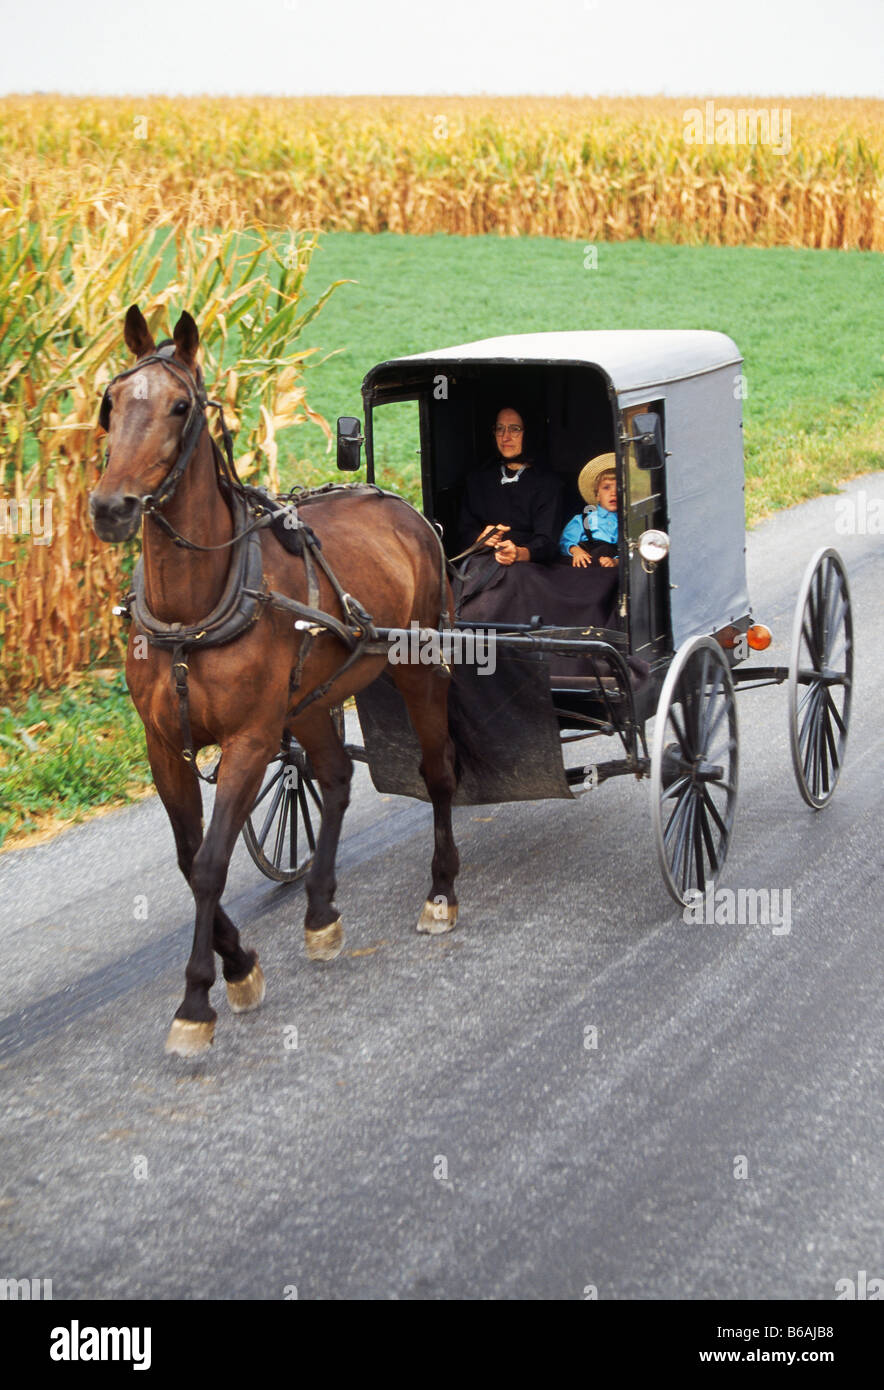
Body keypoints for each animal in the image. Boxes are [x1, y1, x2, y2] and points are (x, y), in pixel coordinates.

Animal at [89, 305, 460, 1057]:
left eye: (179, 406)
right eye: (112, 403)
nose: (111, 507)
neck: (194, 608)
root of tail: (400, 505)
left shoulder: (250, 740)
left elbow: (209, 864)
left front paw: (198, 999)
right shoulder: (164, 746)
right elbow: (187, 859)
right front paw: (239, 963)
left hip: (416, 668)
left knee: (437, 773)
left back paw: (440, 892)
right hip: (310, 697)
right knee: (335, 778)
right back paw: (319, 910)